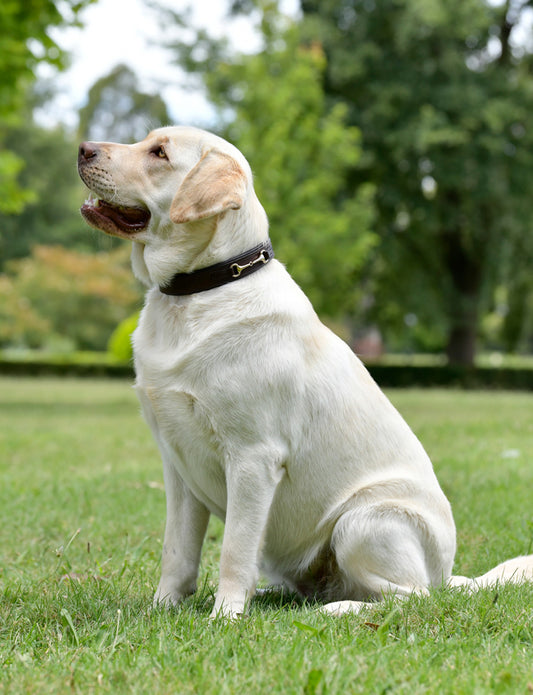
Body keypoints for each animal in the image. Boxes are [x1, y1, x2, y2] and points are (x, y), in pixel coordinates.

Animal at [76, 128, 532, 616]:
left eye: (159, 153)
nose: (82, 148)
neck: (201, 289)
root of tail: (449, 575)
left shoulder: (253, 456)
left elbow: (234, 548)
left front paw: (225, 614)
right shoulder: (178, 463)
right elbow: (177, 551)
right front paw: (163, 609)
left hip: (362, 521)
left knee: (409, 598)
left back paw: (336, 610)